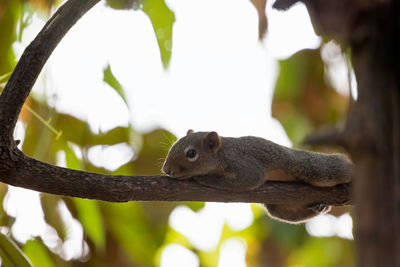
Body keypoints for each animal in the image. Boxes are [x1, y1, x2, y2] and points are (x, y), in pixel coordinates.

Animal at [162, 130, 354, 224]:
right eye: (172, 146)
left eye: (191, 153)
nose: (166, 169)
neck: (223, 153)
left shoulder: (245, 165)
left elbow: (251, 179)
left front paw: (205, 179)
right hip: (277, 205)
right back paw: (321, 206)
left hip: (318, 169)